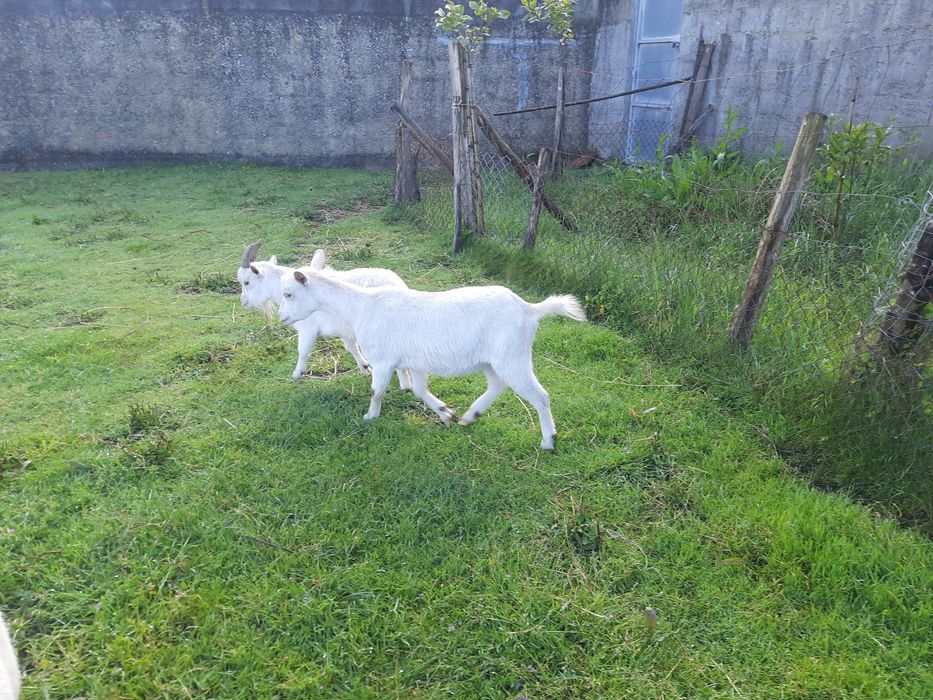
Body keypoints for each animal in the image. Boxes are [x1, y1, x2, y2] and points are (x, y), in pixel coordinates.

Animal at [237, 242, 412, 390]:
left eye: (246, 282)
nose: (243, 302)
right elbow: (351, 347)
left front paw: (297, 373)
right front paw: (364, 367)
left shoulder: (308, 329)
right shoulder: (345, 331)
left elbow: (303, 350)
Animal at [278, 271, 586, 450]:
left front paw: (370, 417)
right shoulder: (414, 362)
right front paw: (445, 413)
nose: (282, 318)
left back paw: (548, 440)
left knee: (540, 395)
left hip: (513, 356)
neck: (361, 307)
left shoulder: (383, 358)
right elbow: (418, 389)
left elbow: (377, 390)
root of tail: (529, 309)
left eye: (289, 293)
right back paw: (470, 416)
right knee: (498, 385)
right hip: (493, 360)